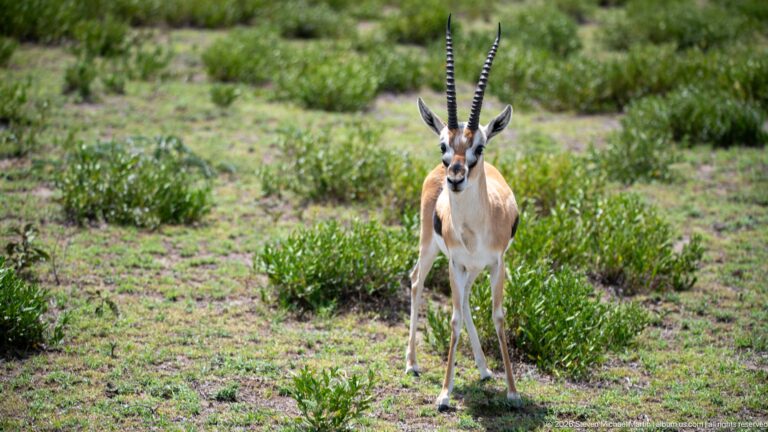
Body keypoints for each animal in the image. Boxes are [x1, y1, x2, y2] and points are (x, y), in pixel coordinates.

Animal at [406, 16, 520, 411]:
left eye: (479, 146)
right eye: (443, 144)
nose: (455, 177)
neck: (476, 227)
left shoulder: (497, 263)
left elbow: (498, 316)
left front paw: (513, 392)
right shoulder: (455, 262)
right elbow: (454, 318)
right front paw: (444, 394)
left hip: (473, 269)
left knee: (469, 300)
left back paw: (485, 370)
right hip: (431, 248)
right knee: (416, 280)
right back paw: (411, 363)